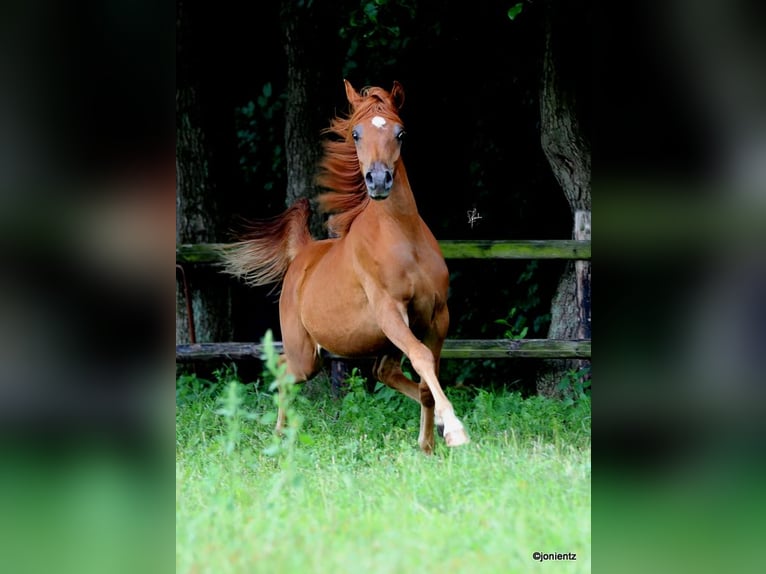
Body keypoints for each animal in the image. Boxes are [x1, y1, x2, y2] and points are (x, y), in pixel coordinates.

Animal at [225, 81, 472, 456]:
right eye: (356, 134)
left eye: (401, 132)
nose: (379, 180)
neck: (402, 239)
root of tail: (302, 252)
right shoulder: (389, 311)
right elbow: (421, 358)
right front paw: (455, 430)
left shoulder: (437, 315)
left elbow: (426, 374)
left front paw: (430, 444)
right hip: (305, 354)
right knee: (283, 370)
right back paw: (280, 437)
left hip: (370, 347)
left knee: (384, 373)